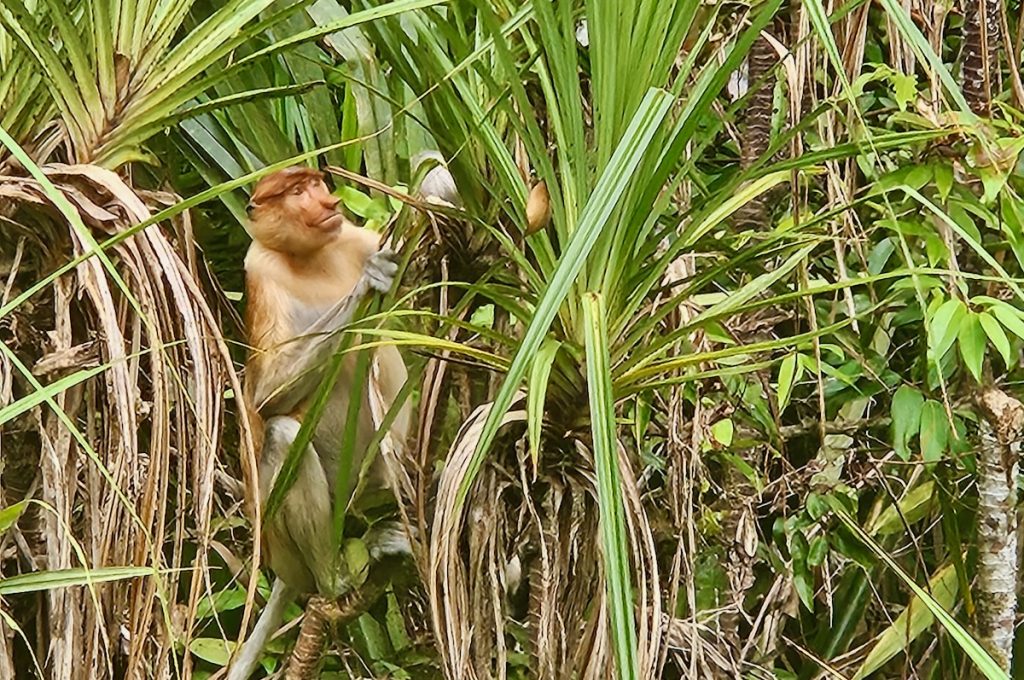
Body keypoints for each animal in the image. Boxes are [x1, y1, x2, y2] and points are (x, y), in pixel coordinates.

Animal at [226, 166, 412, 680]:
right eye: (295, 191)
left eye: (314, 183)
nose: (327, 202)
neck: (311, 257)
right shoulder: (260, 268)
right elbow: (267, 396)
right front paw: (367, 284)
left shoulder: (354, 235)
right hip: (285, 547)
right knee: (284, 435)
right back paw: (336, 579)